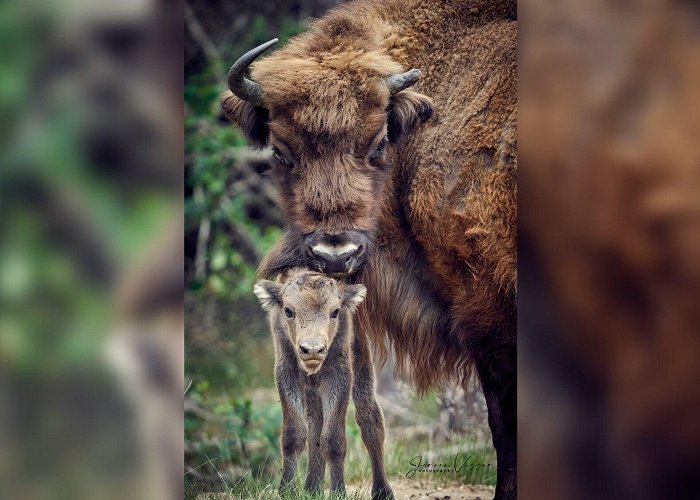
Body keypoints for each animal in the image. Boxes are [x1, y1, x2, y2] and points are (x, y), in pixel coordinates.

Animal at [254, 272, 394, 498]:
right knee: (315, 430)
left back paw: (383, 492)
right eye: (288, 310)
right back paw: (313, 488)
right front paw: (287, 490)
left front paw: (338, 492)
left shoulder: (338, 375)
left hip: (362, 369)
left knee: (370, 420)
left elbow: (333, 439)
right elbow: (294, 434)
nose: (312, 350)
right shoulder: (287, 372)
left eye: (335, 311)